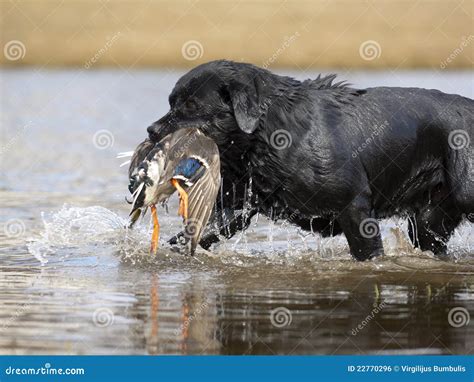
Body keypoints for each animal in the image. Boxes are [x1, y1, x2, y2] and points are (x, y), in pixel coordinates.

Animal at [146, 59, 472, 262]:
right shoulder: (236, 207)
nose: (152, 130)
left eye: (192, 106)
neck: (268, 134)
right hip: (428, 221)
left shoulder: (354, 205)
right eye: (172, 102)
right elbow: (200, 231)